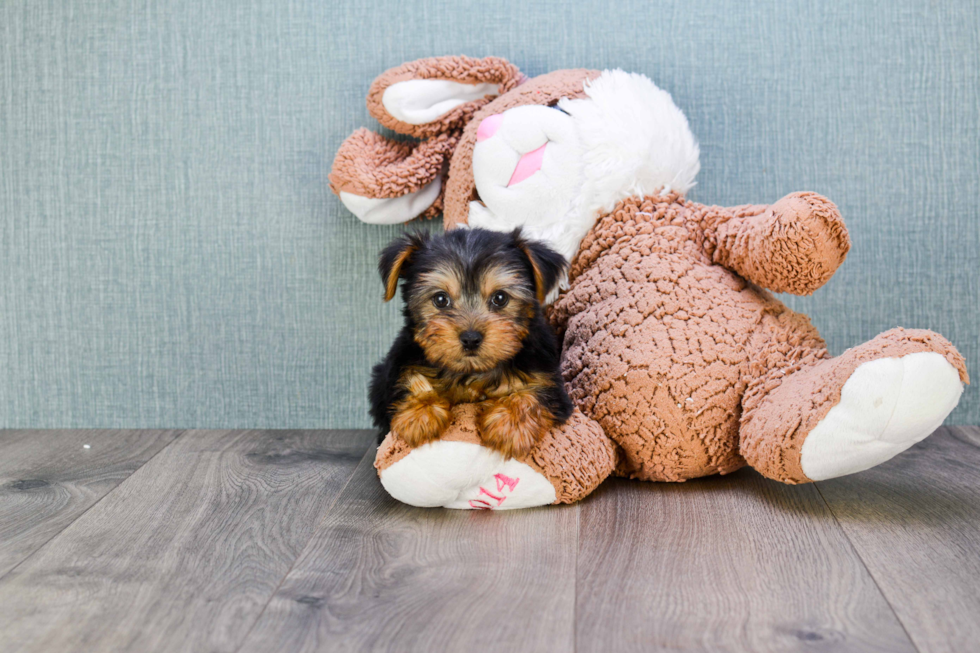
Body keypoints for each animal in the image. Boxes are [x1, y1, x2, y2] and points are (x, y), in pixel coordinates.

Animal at [374, 227, 576, 456]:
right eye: (440, 299)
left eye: (500, 298)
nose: (471, 338)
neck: (472, 371)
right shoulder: (399, 367)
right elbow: (411, 378)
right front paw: (420, 413)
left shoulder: (549, 381)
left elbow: (535, 395)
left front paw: (510, 423)